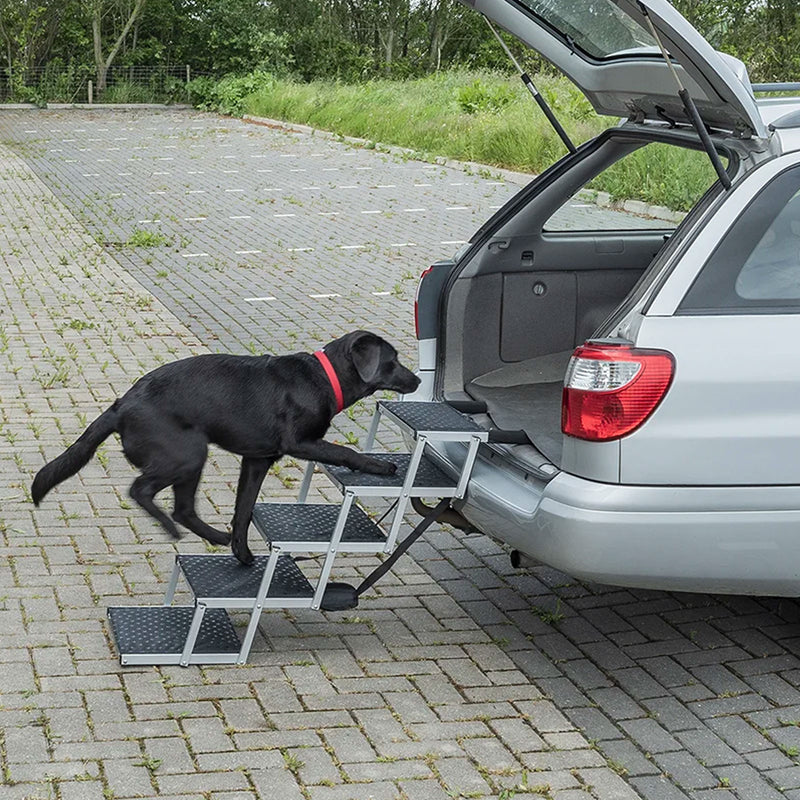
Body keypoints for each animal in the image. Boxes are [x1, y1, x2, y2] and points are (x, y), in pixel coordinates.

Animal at [31, 330, 418, 564]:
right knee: (142, 491)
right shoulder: (301, 443)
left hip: (189, 459)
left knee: (183, 509)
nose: (416, 380)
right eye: (393, 360)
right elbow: (345, 451)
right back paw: (171, 528)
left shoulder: (257, 460)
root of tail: (121, 405)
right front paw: (380, 466)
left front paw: (242, 554)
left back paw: (215, 536)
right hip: (187, 453)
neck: (325, 378)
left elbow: (243, 511)